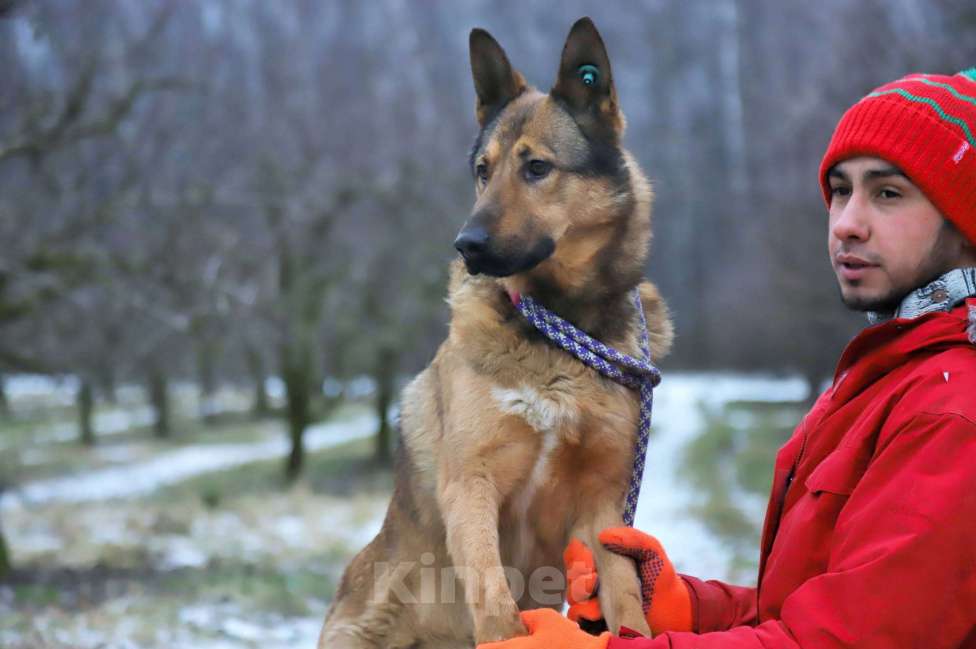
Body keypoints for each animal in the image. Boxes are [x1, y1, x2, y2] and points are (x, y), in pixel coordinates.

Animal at [320, 17, 672, 644]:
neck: (556, 326)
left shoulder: (603, 505)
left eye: (537, 168)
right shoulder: (471, 486)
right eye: (482, 172)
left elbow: (628, 599)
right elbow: (494, 600)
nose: (467, 245)